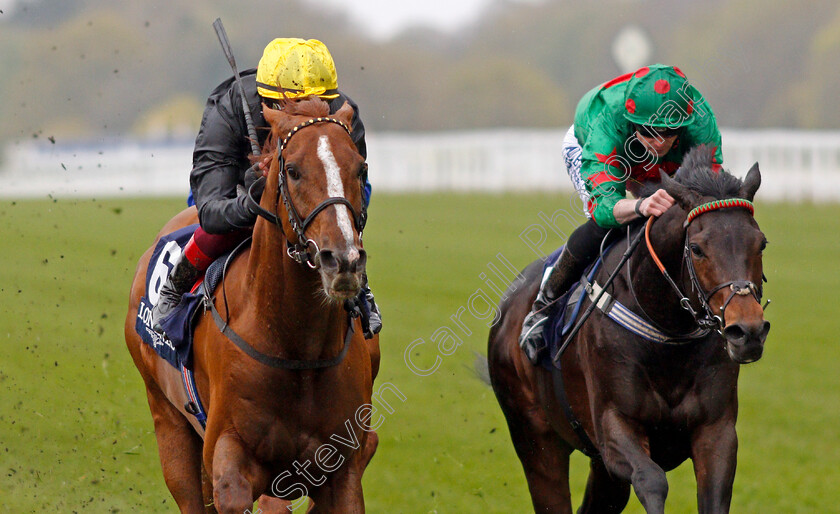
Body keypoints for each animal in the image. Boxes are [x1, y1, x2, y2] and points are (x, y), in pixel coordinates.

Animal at [125, 97, 380, 512]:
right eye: (292, 170)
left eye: (361, 169)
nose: (342, 260)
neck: (298, 347)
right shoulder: (229, 455)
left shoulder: (341, 468)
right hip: (168, 420)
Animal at [488, 146, 772, 510]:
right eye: (697, 248)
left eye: (761, 243)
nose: (747, 331)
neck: (666, 332)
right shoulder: (614, 425)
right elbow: (652, 481)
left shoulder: (717, 430)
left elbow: (713, 495)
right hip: (535, 437)